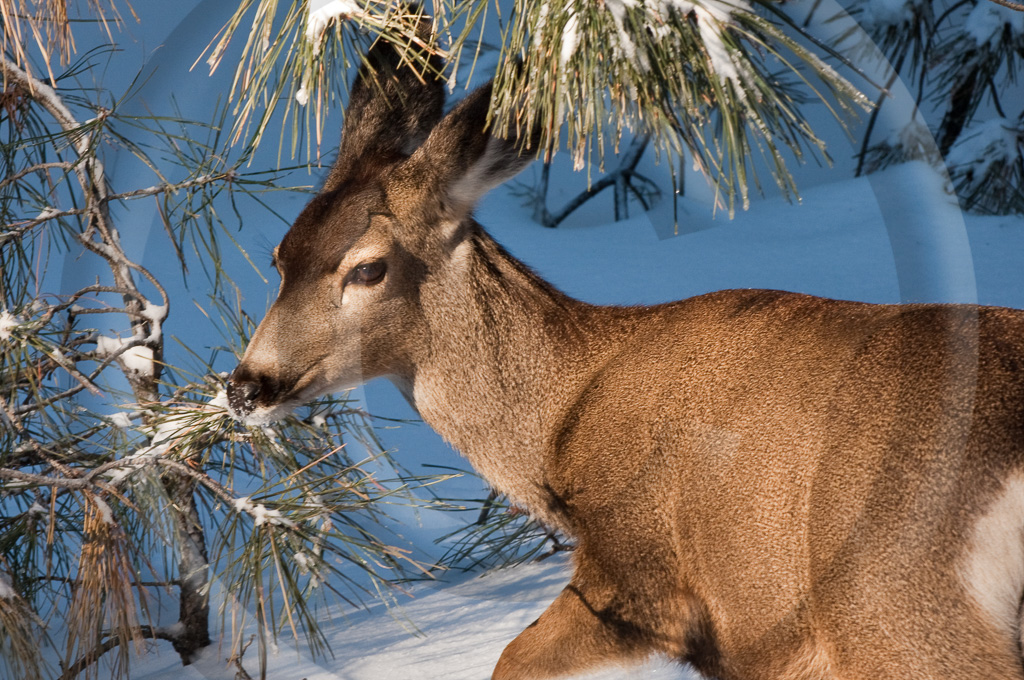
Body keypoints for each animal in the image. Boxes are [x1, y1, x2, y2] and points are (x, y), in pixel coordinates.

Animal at [226, 29, 1024, 675]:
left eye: (366, 269)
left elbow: (512, 659)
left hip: (897, 605)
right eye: (279, 255)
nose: (244, 385)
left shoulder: (641, 572)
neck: (562, 420)